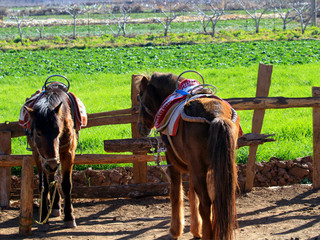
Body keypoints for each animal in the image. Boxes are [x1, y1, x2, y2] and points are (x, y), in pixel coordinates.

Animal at [23, 82, 78, 231]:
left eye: (58, 131)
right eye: (38, 133)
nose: (52, 163)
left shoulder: (68, 153)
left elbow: (66, 184)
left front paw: (69, 217)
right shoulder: (38, 156)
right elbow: (44, 185)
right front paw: (43, 217)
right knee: (52, 177)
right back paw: (53, 207)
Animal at [136, 72, 242, 239]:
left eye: (140, 95)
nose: (140, 127)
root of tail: (216, 116)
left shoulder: (173, 162)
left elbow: (176, 194)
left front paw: (175, 230)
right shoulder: (194, 167)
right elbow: (193, 195)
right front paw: (195, 229)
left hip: (200, 169)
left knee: (206, 204)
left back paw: (207, 235)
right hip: (219, 168)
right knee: (218, 200)